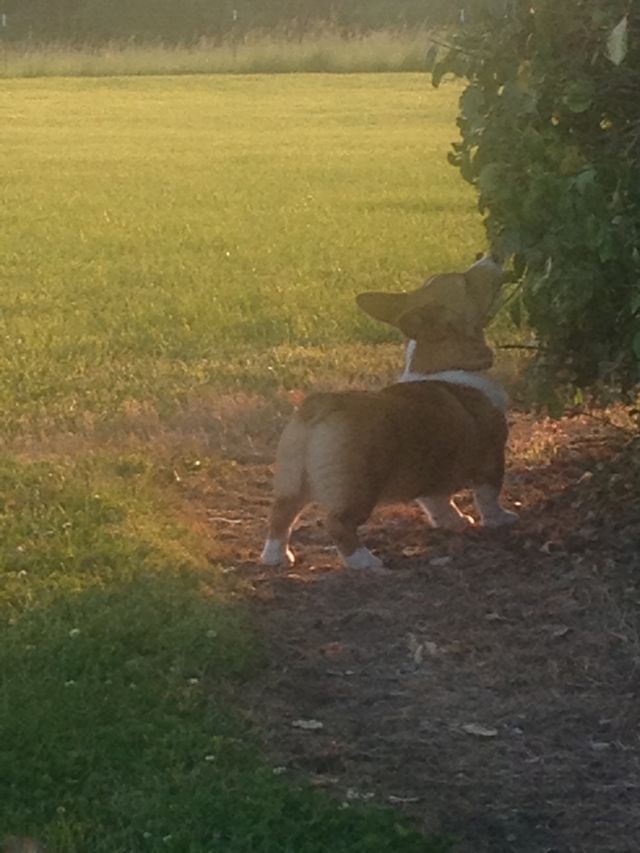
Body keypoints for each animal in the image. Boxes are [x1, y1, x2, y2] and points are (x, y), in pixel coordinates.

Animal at [260, 254, 517, 570]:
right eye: (466, 282)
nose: (490, 255)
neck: (440, 364)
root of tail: (321, 405)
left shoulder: (432, 475)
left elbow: (439, 502)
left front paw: (454, 522)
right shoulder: (491, 457)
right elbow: (488, 496)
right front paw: (500, 519)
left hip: (292, 482)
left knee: (280, 515)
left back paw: (276, 557)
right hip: (359, 488)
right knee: (338, 524)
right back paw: (365, 562)